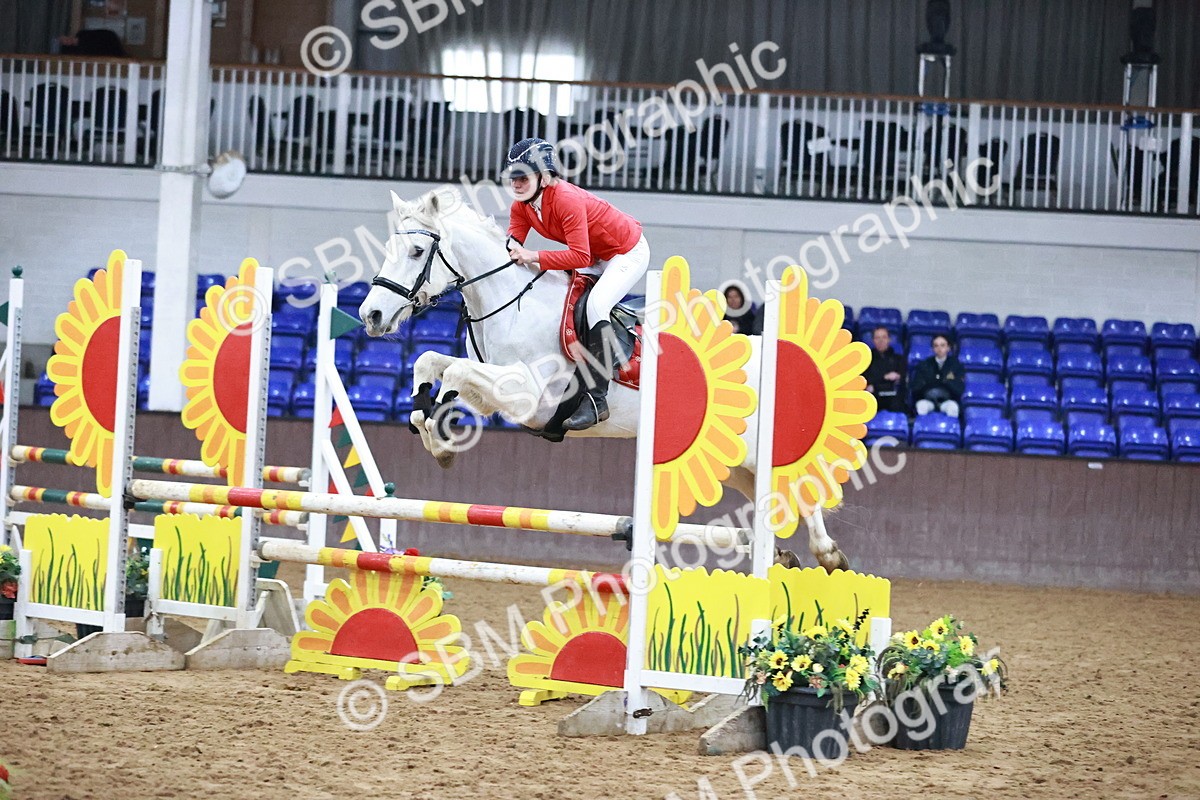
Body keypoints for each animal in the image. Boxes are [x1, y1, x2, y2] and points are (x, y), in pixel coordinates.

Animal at [358, 188, 849, 572]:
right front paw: (432, 427)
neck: (509, 303)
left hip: (755, 452)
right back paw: (790, 555)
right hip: (734, 464)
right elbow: (431, 363)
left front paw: (441, 437)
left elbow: (456, 370)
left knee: (802, 489)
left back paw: (828, 555)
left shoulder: (532, 397)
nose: (371, 315)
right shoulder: (496, 393)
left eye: (417, 253)